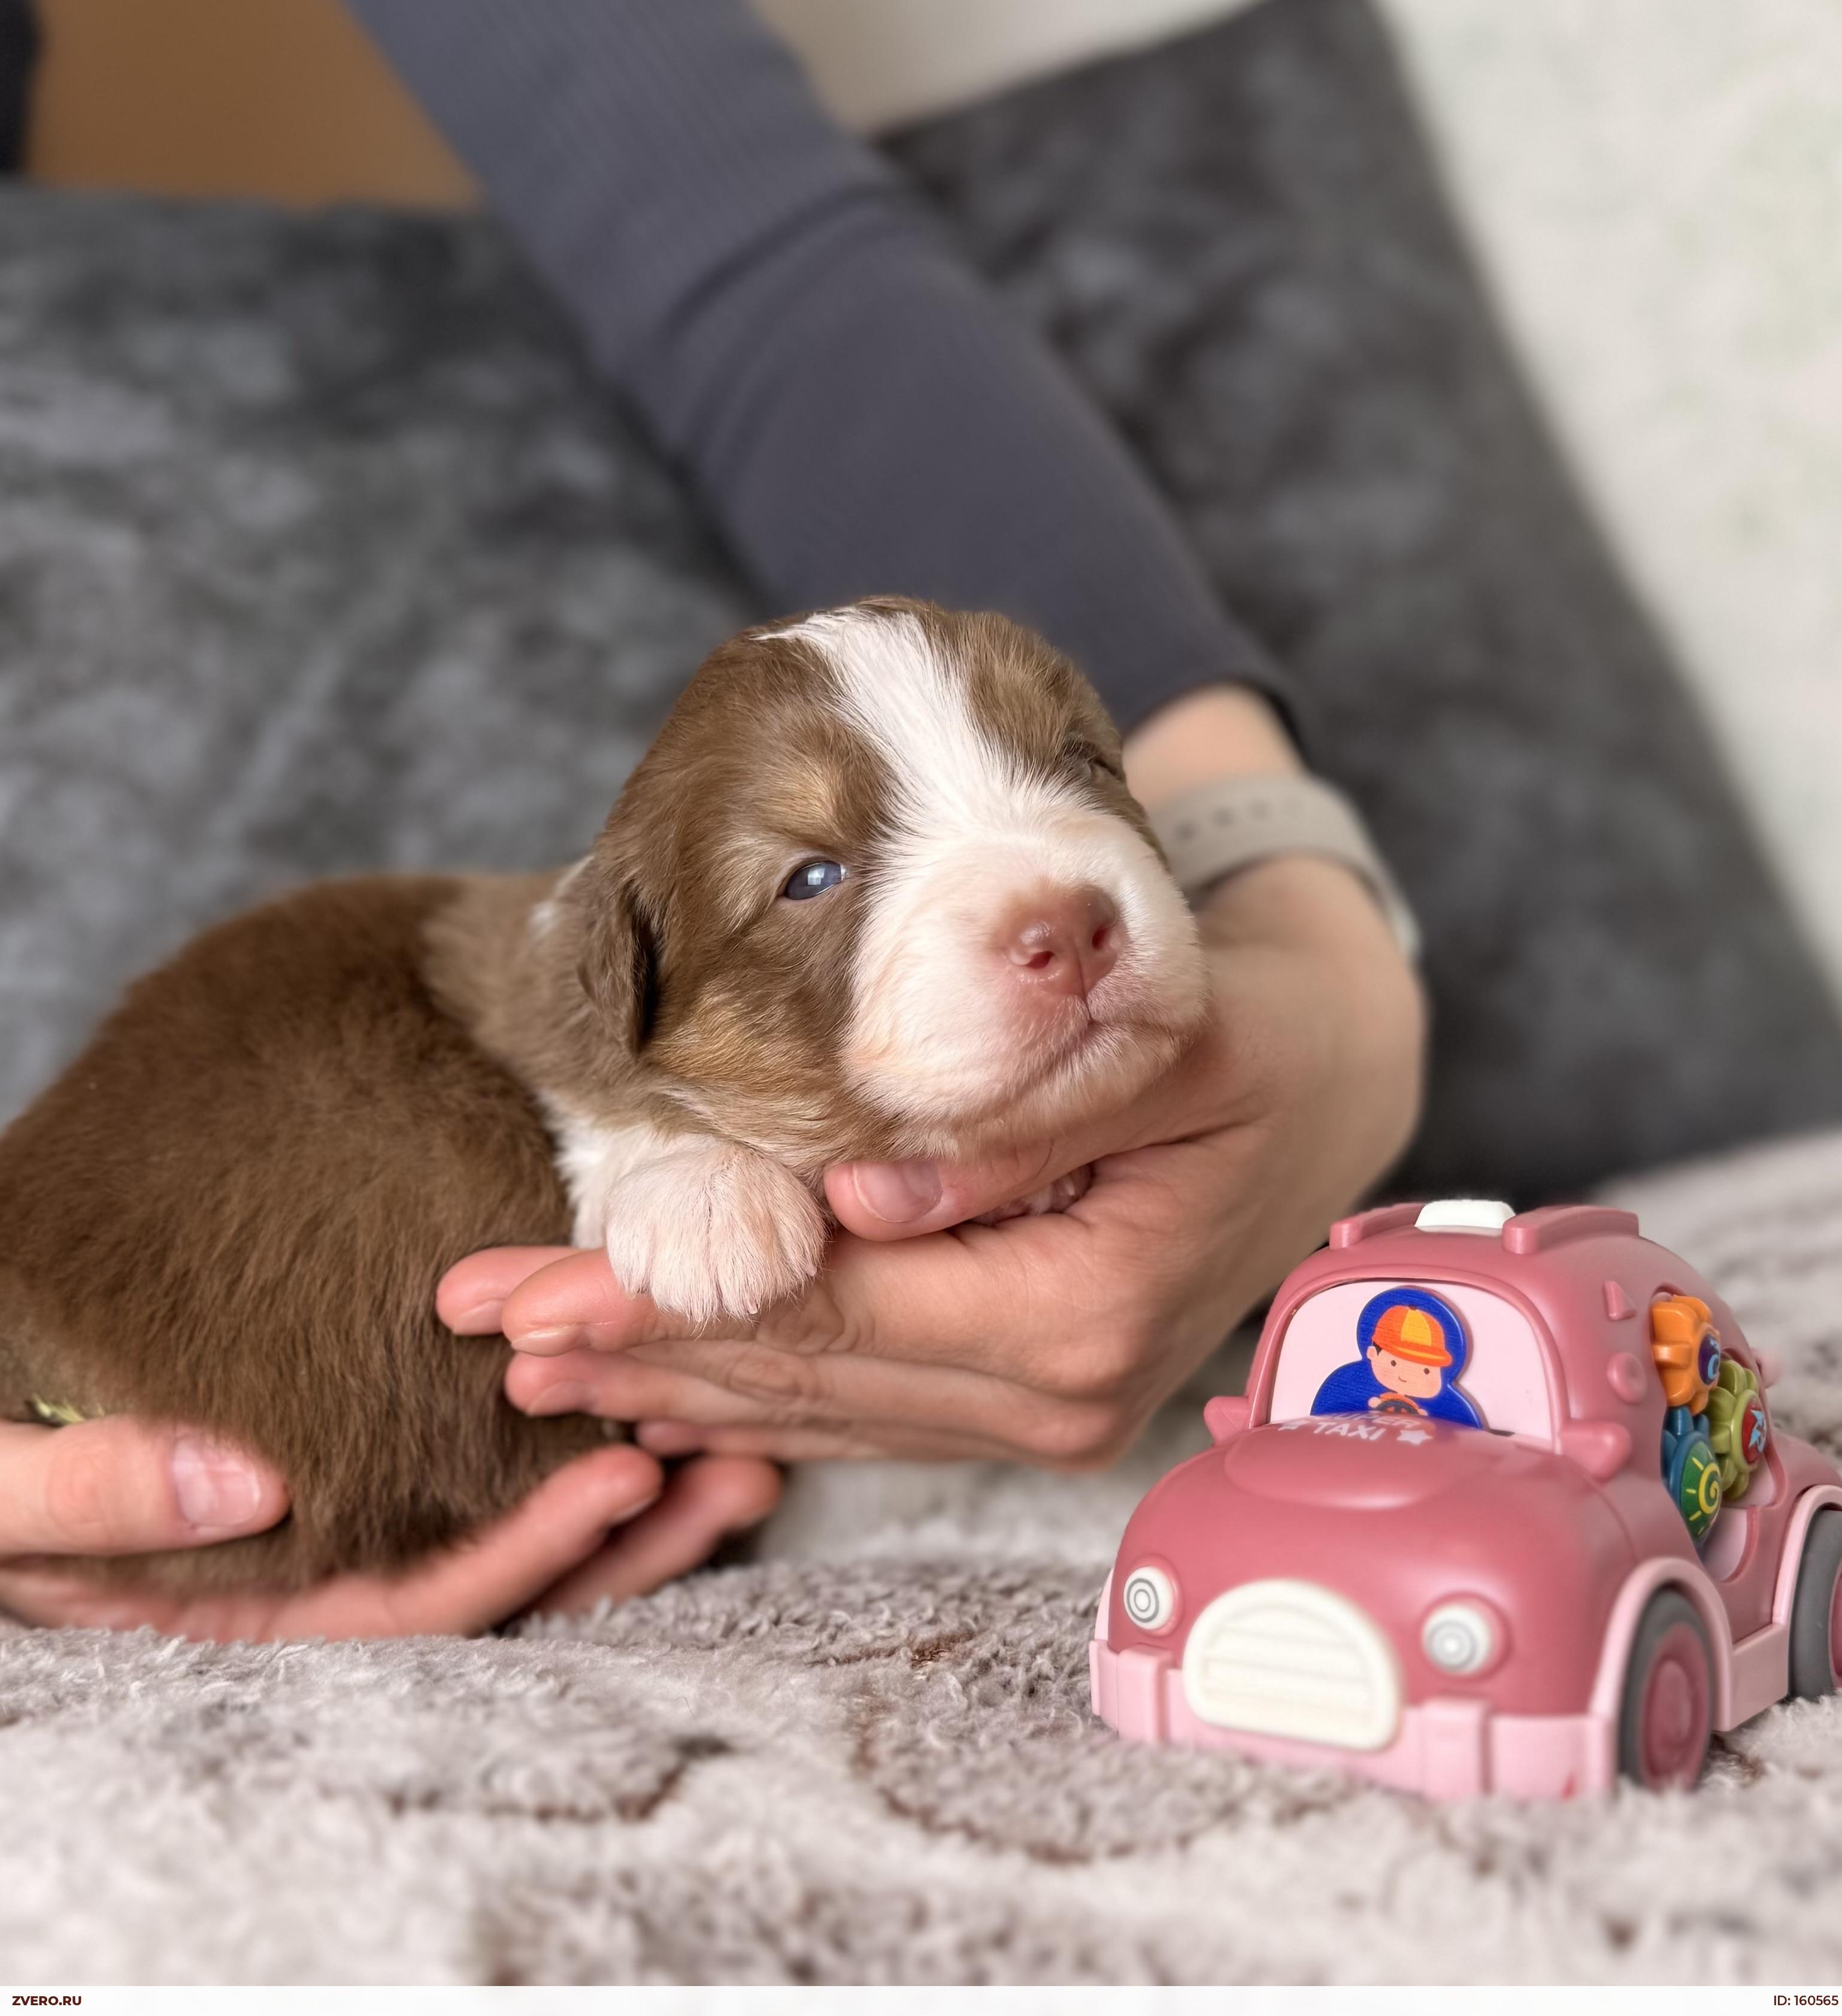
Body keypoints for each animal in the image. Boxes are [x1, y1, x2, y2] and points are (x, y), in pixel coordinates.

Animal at [0, 599, 1208, 1591]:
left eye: (1085, 762)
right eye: (811, 878)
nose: (1070, 927)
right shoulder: (515, 989)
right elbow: (599, 1096)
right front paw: (707, 1202)